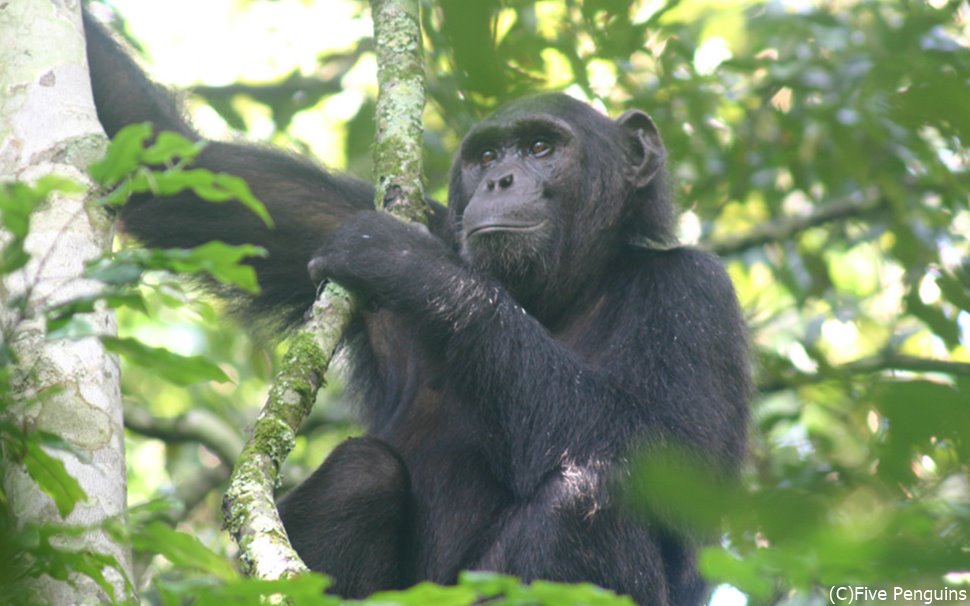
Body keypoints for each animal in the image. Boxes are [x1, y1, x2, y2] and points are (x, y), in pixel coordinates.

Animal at [83, 10, 748, 606]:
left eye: (540, 147)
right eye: (486, 157)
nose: (501, 180)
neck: (558, 296)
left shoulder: (697, 297)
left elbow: (667, 463)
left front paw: (410, 266)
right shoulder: (359, 212)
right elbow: (175, 161)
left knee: (589, 497)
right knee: (363, 473)